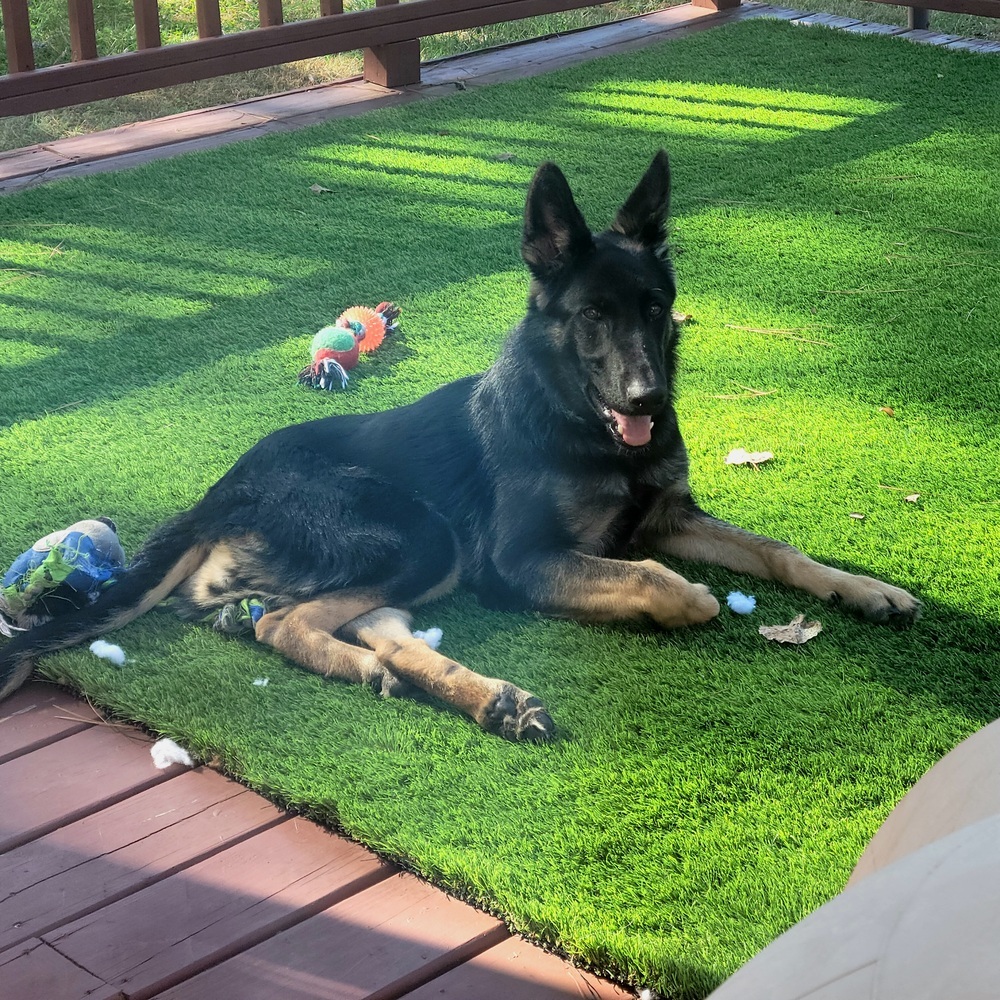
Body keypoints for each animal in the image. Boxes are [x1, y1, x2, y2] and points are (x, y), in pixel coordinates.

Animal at [0, 152, 920, 740]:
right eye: (592, 315)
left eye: (657, 308)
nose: (648, 401)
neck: (580, 423)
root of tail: (224, 488)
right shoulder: (519, 561)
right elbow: (655, 577)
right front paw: (685, 599)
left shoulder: (671, 515)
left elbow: (776, 550)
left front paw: (867, 590)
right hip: (419, 534)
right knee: (290, 624)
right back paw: (405, 681)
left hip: (412, 557)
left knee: (367, 625)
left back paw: (491, 701)